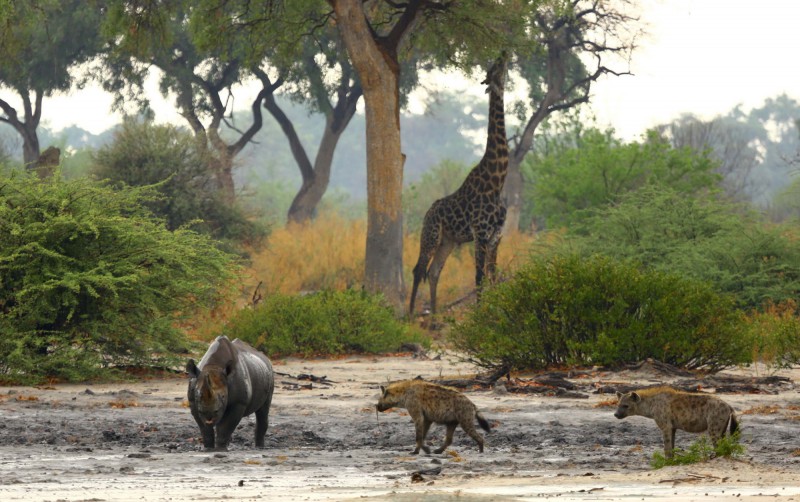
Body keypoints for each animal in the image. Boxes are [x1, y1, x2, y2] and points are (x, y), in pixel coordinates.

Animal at [410, 54, 510, 314]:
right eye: (495, 68)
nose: (504, 52)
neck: (497, 181)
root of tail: (427, 213)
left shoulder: (496, 236)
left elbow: (493, 275)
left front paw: (497, 310)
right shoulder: (481, 233)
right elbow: (479, 277)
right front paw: (481, 313)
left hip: (449, 241)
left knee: (433, 272)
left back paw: (434, 316)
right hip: (431, 235)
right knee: (418, 269)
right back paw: (410, 314)